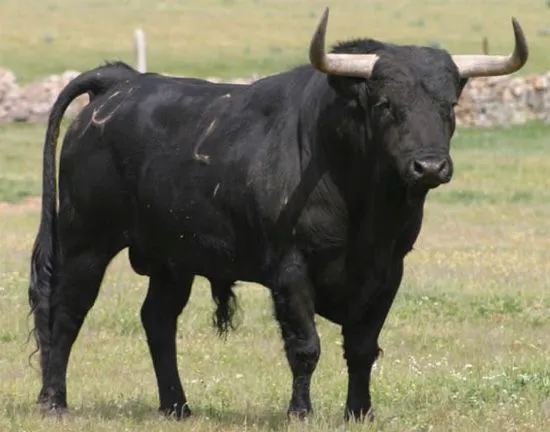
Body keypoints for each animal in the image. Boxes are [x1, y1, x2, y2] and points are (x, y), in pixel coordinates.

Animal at [27, 7, 532, 422]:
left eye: (450, 106)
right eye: (386, 104)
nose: (429, 166)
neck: (364, 208)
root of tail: (120, 81)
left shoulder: (390, 270)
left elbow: (363, 347)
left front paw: (360, 412)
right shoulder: (291, 269)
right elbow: (305, 346)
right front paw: (300, 412)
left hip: (173, 258)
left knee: (158, 320)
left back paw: (177, 406)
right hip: (85, 240)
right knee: (67, 312)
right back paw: (54, 401)